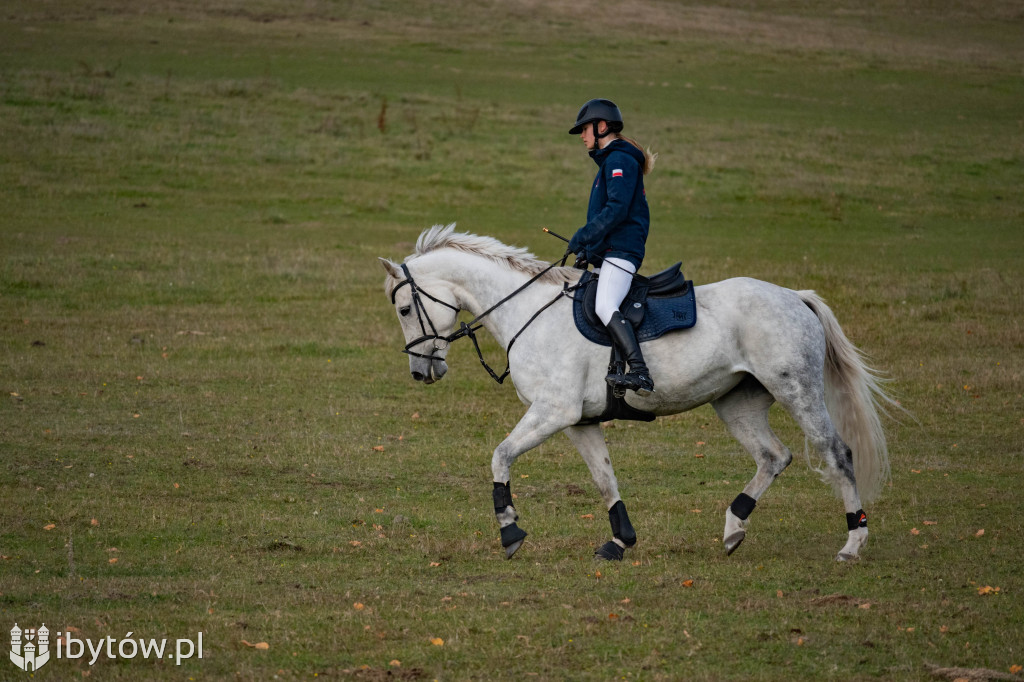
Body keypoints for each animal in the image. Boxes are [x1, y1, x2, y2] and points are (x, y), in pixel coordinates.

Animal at [378, 225, 897, 561]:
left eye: (404, 309)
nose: (421, 372)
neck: (529, 310)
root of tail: (794, 296)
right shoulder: (580, 422)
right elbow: (605, 479)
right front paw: (620, 541)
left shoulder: (554, 412)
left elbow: (500, 456)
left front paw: (510, 532)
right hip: (736, 403)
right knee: (773, 456)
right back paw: (734, 528)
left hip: (796, 390)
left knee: (836, 453)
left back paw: (853, 543)